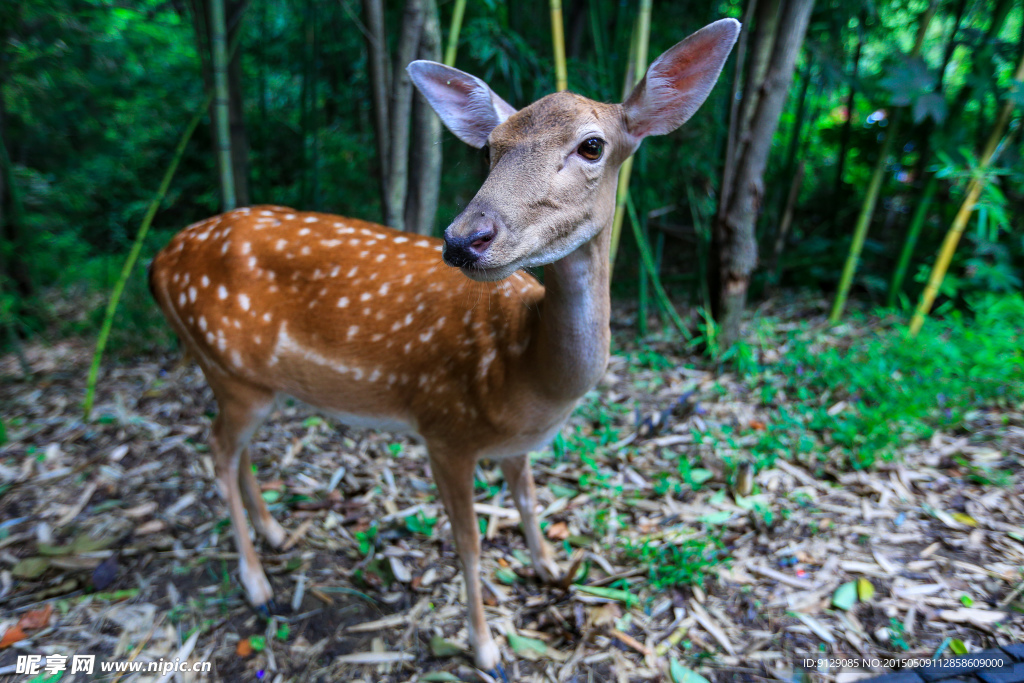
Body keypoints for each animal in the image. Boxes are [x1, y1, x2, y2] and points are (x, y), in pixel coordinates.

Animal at [146, 20, 737, 671]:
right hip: (226, 366)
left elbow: (528, 501)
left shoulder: (516, 445)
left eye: (591, 146)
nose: (463, 239)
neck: (527, 374)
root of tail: (158, 263)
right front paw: (487, 649)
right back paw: (258, 586)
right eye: (491, 147)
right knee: (217, 450)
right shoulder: (444, 428)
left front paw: (550, 568)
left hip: (246, 378)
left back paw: (275, 535)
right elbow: (469, 543)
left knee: (236, 447)